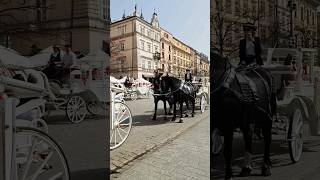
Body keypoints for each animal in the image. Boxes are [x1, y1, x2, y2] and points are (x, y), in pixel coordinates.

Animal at [211, 51, 276, 180]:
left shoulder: (228, 125)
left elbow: (228, 151)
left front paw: (228, 175)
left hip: (267, 116)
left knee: (267, 138)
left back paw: (266, 166)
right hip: (247, 117)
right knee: (248, 137)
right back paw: (247, 167)